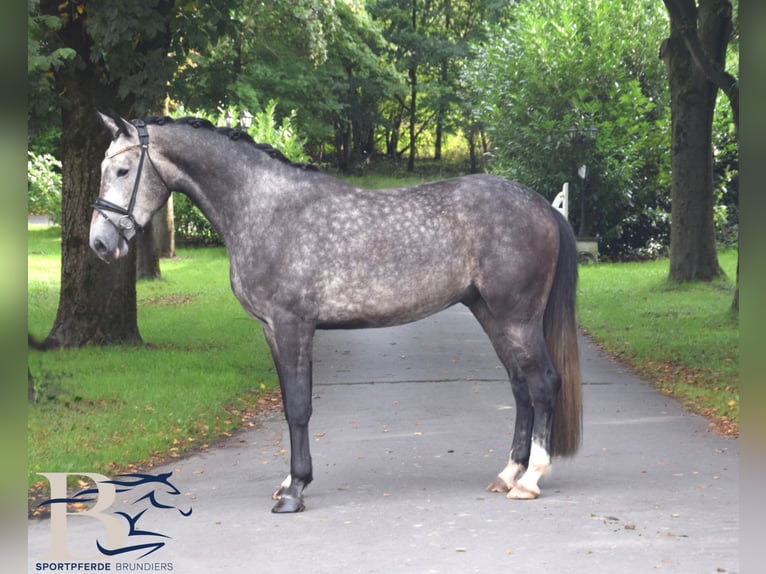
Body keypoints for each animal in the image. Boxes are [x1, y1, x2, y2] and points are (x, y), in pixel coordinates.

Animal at [89, 112, 582, 513]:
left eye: (122, 170)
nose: (99, 242)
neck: (265, 208)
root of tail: (542, 206)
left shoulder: (293, 326)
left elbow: (299, 407)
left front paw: (294, 492)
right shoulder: (272, 331)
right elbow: (289, 402)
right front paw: (291, 480)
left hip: (517, 318)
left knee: (543, 384)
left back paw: (531, 480)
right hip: (490, 314)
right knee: (520, 388)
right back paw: (508, 474)